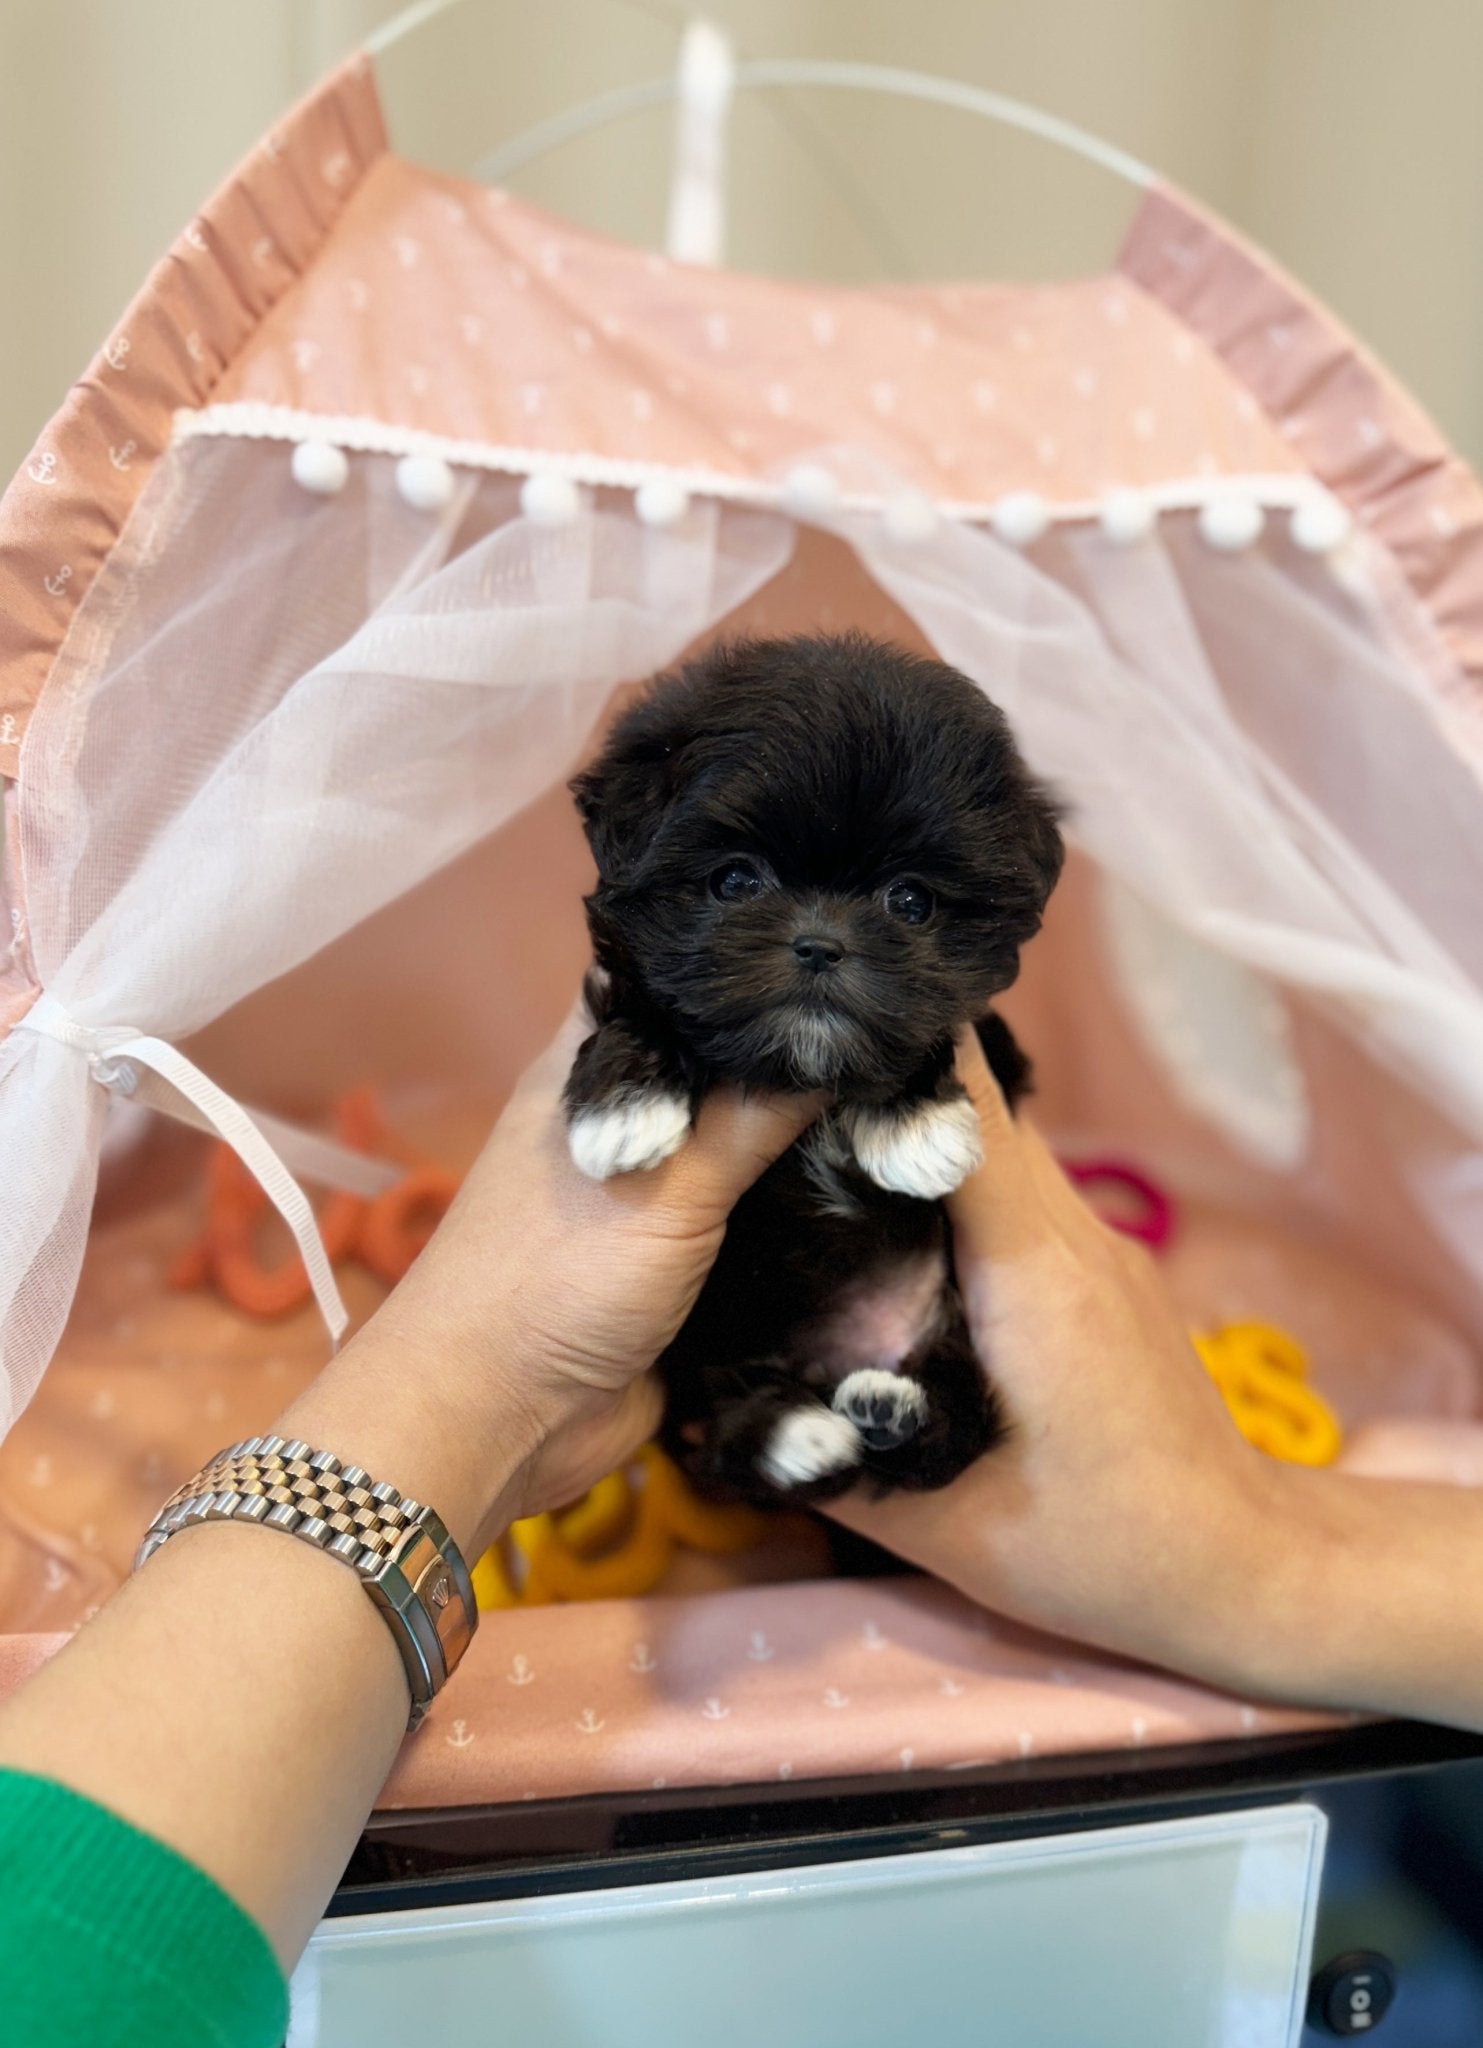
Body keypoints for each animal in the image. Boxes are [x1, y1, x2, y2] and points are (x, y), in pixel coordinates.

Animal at [561, 630, 1056, 1515]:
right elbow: (643, 1002)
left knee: (953, 1425)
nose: (821, 944)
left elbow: (928, 1024)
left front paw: (914, 1126)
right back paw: (800, 1434)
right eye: (733, 879)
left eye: (910, 902)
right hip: (706, 1343)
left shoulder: (993, 1046)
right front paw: (622, 1108)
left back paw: (889, 1411)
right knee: (728, 1418)